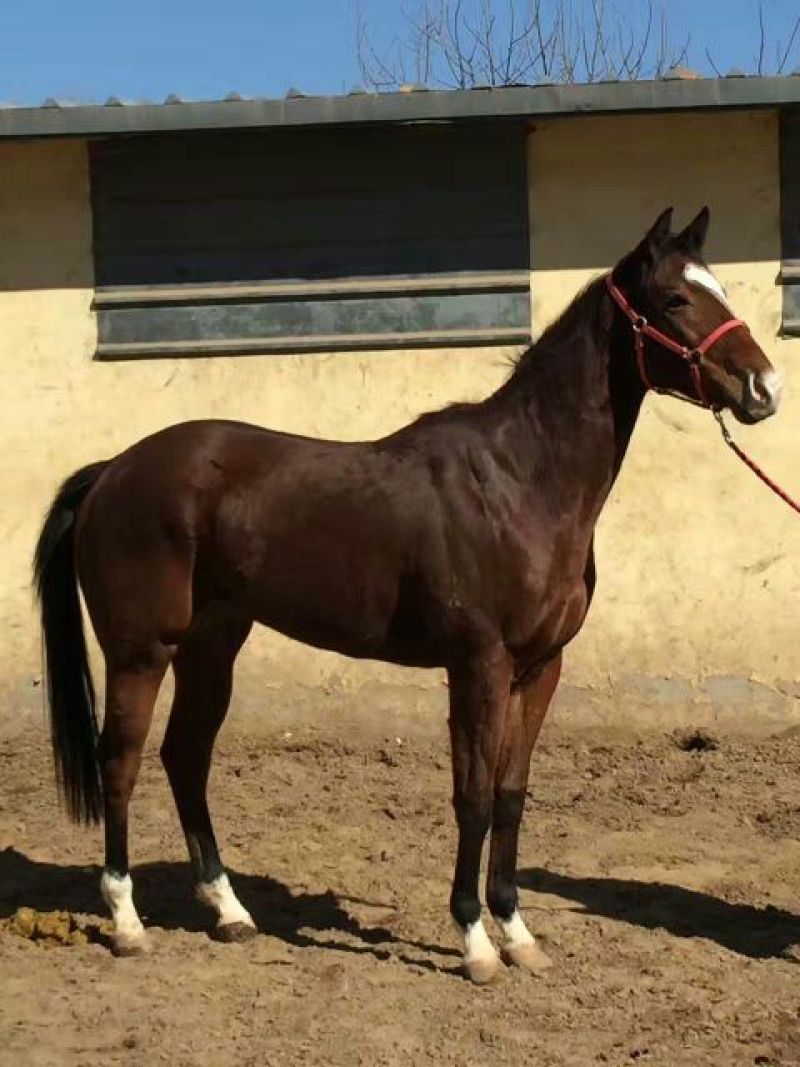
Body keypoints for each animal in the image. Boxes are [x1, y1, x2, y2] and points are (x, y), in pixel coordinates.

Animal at [33, 206, 781, 983]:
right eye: (675, 299)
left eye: (720, 288)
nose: (764, 387)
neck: (520, 479)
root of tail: (113, 471)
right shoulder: (479, 664)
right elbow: (472, 794)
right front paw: (475, 941)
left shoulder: (540, 668)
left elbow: (510, 794)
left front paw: (517, 933)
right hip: (140, 651)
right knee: (120, 761)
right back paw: (127, 922)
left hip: (212, 646)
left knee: (186, 756)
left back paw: (230, 911)